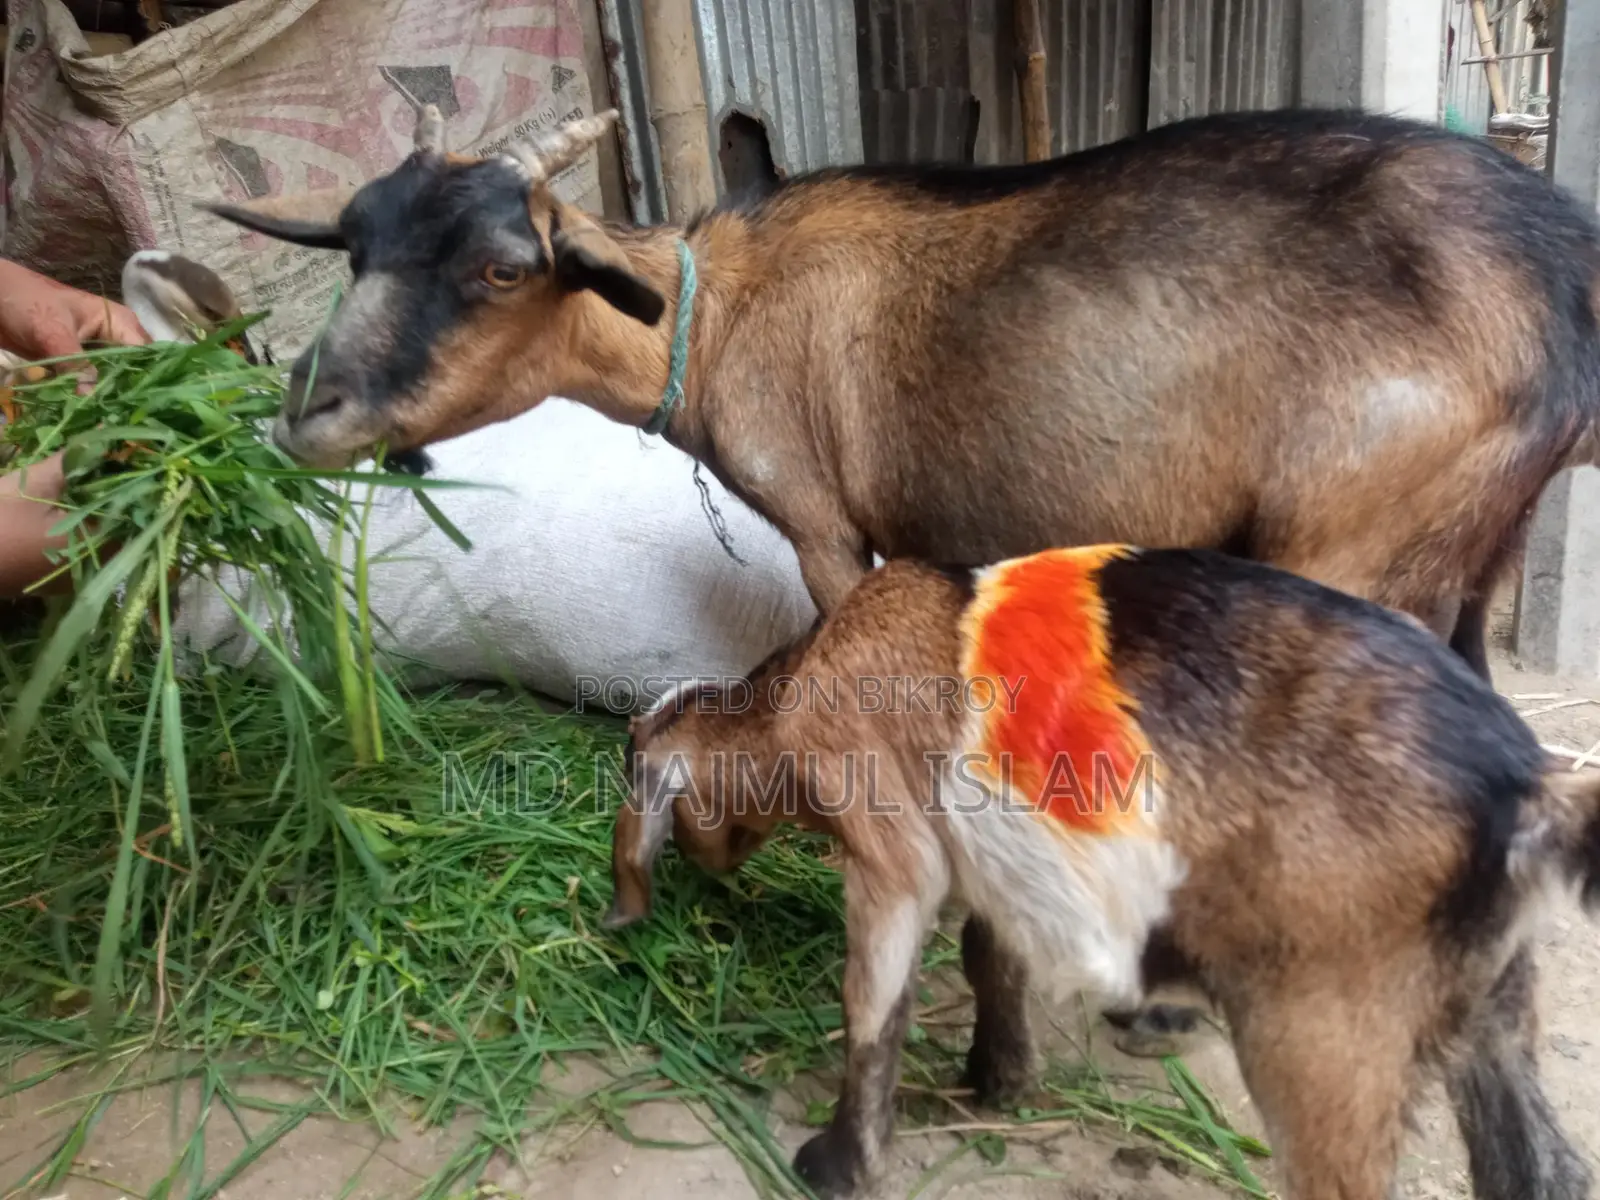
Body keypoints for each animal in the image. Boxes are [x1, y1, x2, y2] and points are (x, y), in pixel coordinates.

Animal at [205, 105, 1600, 684]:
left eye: (504, 267)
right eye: (355, 246)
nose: (308, 415)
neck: (724, 305)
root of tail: (1561, 286)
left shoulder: (825, 523)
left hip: (1350, 539)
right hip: (1468, 549)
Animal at [604, 546, 1600, 1200]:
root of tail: (1524, 789)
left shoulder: (893, 852)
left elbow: (872, 1005)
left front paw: (839, 1164)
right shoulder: (997, 860)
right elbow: (989, 957)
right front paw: (1000, 1079)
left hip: (1328, 1035)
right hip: (1491, 1008)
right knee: (1544, 1167)